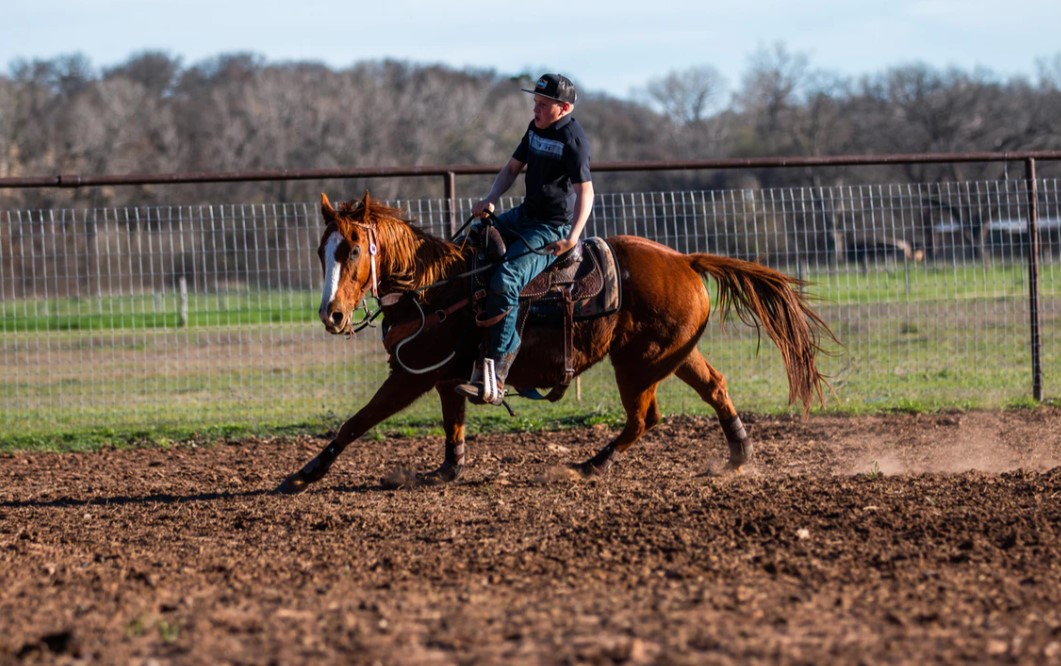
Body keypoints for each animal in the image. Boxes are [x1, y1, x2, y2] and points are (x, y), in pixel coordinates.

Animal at [273, 193, 836, 494]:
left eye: (351, 249)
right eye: (322, 250)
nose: (332, 315)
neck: (436, 285)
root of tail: (686, 260)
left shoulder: (412, 376)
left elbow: (356, 422)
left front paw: (301, 475)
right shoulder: (445, 379)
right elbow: (454, 426)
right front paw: (447, 471)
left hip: (639, 364)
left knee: (644, 419)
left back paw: (590, 465)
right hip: (674, 354)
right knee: (713, 386)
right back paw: (738, 453)